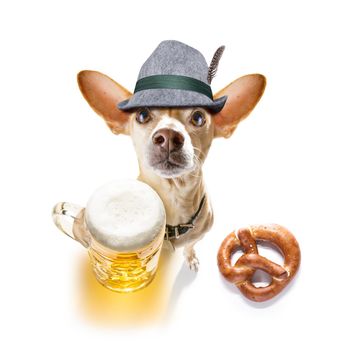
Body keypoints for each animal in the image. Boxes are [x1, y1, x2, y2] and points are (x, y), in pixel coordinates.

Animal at [75, 41, 264, 270]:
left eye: (198, 117)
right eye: (142, 115)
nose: (168, 136)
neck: (174, 198)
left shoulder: (197, 236)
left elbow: (190, 244)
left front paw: (190, 257)